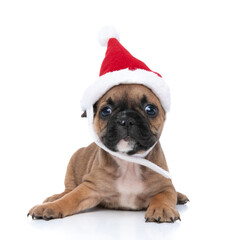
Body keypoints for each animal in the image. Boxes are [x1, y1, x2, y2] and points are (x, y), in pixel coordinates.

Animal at [28, 84, 188, 223]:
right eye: (106, 111)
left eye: (150, 109)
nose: (126, 120)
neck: (129, 162)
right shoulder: (90, 188)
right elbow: (70, 198)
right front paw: (50, 207)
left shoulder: (165, 187)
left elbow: (163, 197)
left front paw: (162, 209)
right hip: (72, 164)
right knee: (68, 190)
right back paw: (53, 198)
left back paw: (179, 196)